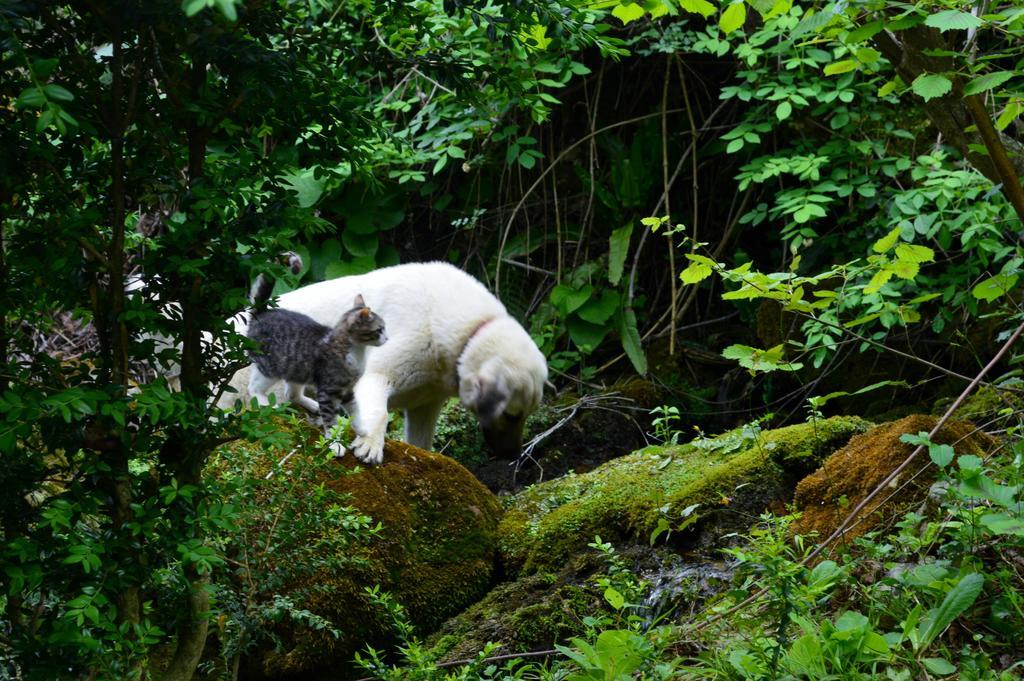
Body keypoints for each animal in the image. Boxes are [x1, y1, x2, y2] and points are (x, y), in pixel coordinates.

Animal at [220, 259, 548, 462]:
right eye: (511, 415)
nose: (513, 456)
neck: (470, 331)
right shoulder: (375, 373)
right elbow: (377, 414)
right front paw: (370, 446)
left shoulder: (425, 407)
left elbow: (421, 441)